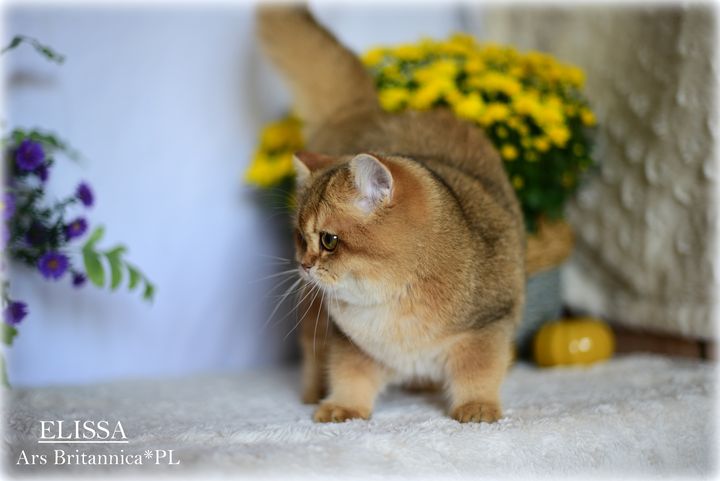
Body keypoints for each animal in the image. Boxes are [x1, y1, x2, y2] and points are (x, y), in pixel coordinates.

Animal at [257, 4, 525, 423]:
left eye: (329, 240)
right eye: (301, 237)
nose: (303, 264)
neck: (397, 297)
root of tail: (371, 113)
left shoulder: (489, 326)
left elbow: (479, 373)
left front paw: (476, 407)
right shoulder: (347, 341)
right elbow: (350, 376)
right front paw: (343, 407)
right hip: (311, 310)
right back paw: (312, 394)